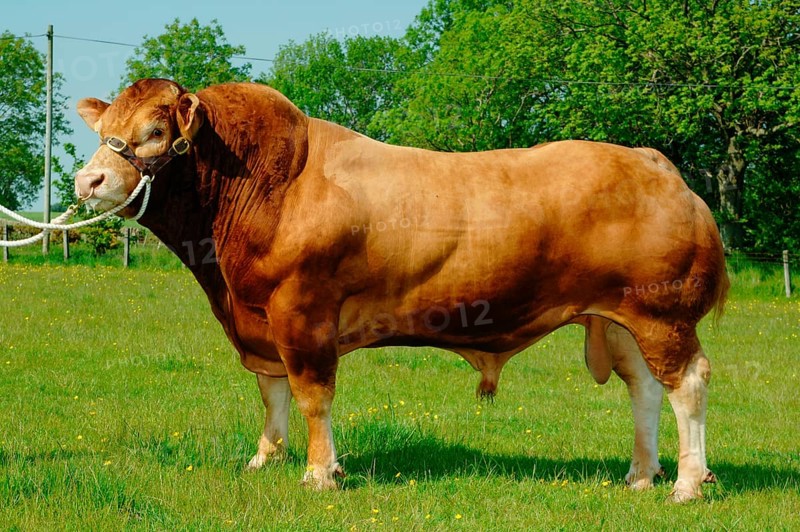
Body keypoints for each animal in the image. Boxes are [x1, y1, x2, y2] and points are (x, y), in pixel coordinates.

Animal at [74, 79, 728, 502]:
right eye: (104, 129)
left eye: (156, 130)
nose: (89, 180)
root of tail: (658, 165)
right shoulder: (258, 321)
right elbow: (272, 392)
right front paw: (265, 457)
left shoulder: (303, 313)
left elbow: (312, 395)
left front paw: (320, 473)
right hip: (620, 320)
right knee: (645, 389)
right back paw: (640, 475)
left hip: (662, 314)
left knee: (688, 384)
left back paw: (687, 484)